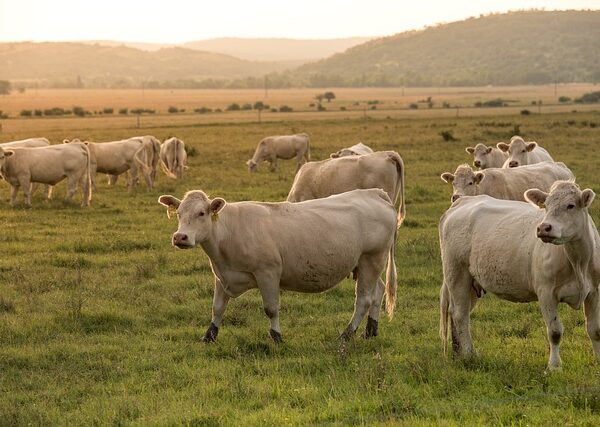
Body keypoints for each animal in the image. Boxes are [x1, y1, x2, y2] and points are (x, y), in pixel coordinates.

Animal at [158, 189, 398, 346]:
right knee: (377, 292)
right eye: (178, 213)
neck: (228, 231)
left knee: (364, 299)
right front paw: (209, 335)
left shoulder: (268, 273)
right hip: (365, 265)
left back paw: (347, 334)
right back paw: (370, 331)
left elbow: (271, 308)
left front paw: (276, 337)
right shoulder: (222, 276)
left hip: (371, 259)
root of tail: (374, 193)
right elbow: (217, 308)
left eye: (201, 213)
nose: (180, 237)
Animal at [438, 181, 600, 372]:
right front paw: (554, 367)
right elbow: (555, 332)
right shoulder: (546, 293)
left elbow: (595, 329)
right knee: (460, 315)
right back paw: (470, 354)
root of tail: (462, 201)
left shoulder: (594, 292)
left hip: (471, 282)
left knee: (457, 313)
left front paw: (598, 360)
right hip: (457, 273)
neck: (578, 262)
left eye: (571, 205)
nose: (544, 227)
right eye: (546, 205)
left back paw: (458, 354)